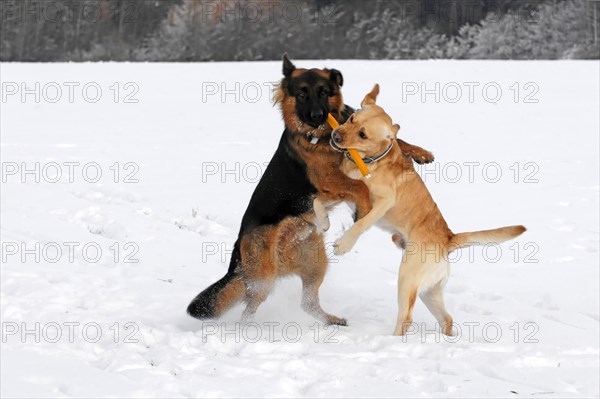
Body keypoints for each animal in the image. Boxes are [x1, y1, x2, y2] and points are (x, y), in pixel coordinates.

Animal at [188, 55, 432, 324]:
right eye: (302, 94)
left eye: (323, 92)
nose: (318, 115)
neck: (323, 137)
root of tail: (238, 250)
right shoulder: (328, 178)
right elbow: (359, 186)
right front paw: (362, 209)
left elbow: (397, 141)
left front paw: (420, 152)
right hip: (264, 276)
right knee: (250, 307)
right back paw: (246, 328)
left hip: (315, 261)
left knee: (308, 302)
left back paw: (332, 321)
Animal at [314, 85, 524, 338]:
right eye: (352, 118)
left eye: (363, 134)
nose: (336, 135)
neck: (371, 160)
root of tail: (448, 238)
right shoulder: (343, 193)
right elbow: (317, 201)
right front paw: (323, 223)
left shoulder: (384, 201)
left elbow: (360, 224)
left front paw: (343, 244)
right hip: (429, 291)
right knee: (447, 318)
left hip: (407, 277)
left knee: (406, 318)